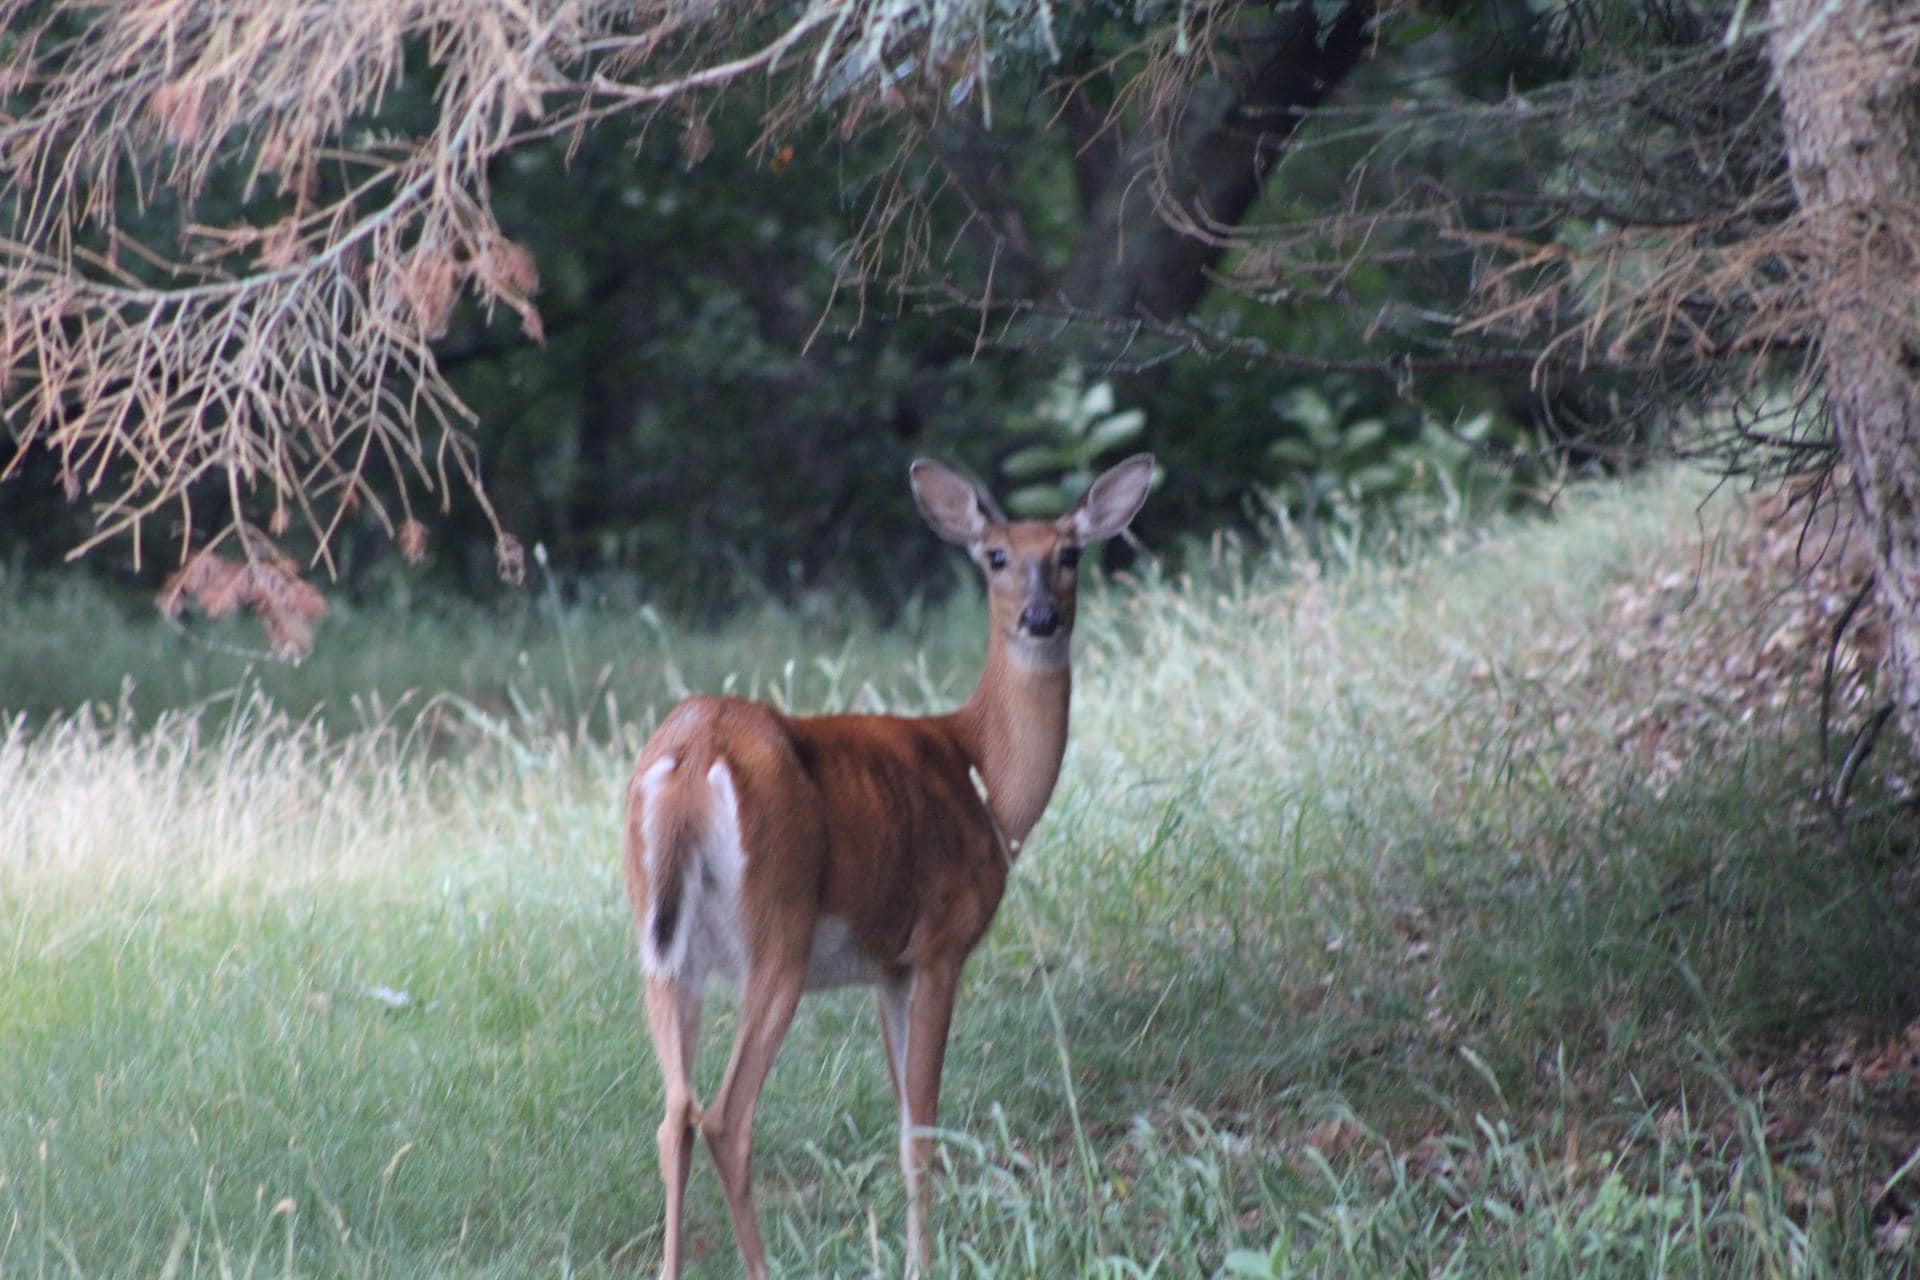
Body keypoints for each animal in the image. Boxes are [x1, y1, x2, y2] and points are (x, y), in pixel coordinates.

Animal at [621, 453, 1153, 1279]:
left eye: (1069, 554)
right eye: (995, 557)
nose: (1040, 617)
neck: (984, 771)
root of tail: (695, 750)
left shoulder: (884, 967)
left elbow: (904, 1121)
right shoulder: (939, 943)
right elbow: (921, 1134)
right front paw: (921, 1263)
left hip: (667, 947)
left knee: (674, 1114)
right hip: (778, 929)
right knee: (727, 1118)